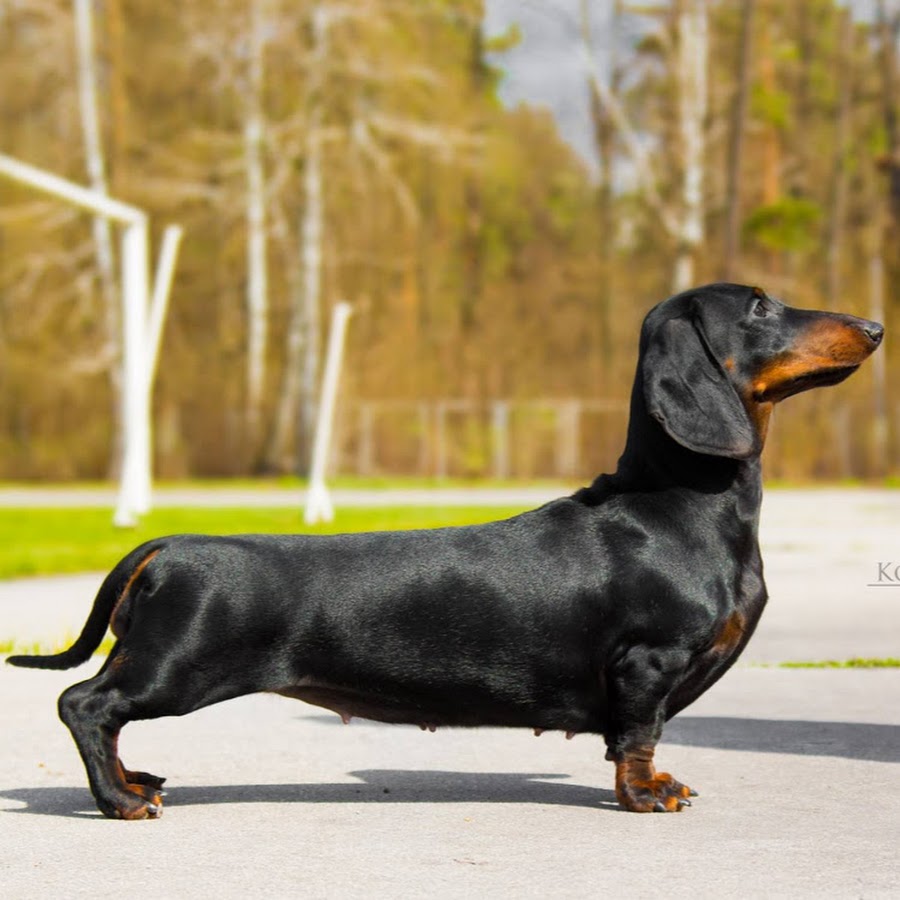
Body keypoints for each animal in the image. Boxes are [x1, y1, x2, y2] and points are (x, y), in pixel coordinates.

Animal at [3, 282, 884, 816]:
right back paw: (120, 800)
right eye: (760, 307)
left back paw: (131, 779)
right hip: (174, 668)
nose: (876, 325)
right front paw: (647, 793)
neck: (676, 502)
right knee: (85, 704)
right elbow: (638, 739)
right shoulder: (647, 663)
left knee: (103, 715)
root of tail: (165, 544)